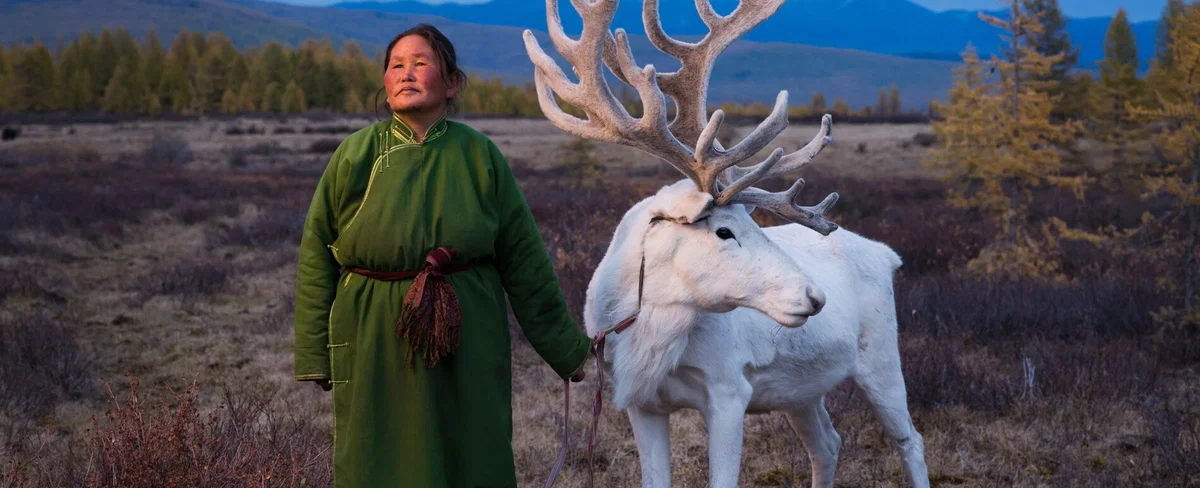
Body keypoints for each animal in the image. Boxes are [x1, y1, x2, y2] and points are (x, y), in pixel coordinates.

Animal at [522, 1, 930, 487]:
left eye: (751, 222)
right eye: (724, 230)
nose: (814, 296)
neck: (652, 332)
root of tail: (888, 254)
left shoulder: (729, 390)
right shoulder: (639, 401)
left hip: (882, 359)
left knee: (911, 440)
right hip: (800, 391)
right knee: (828, 443)